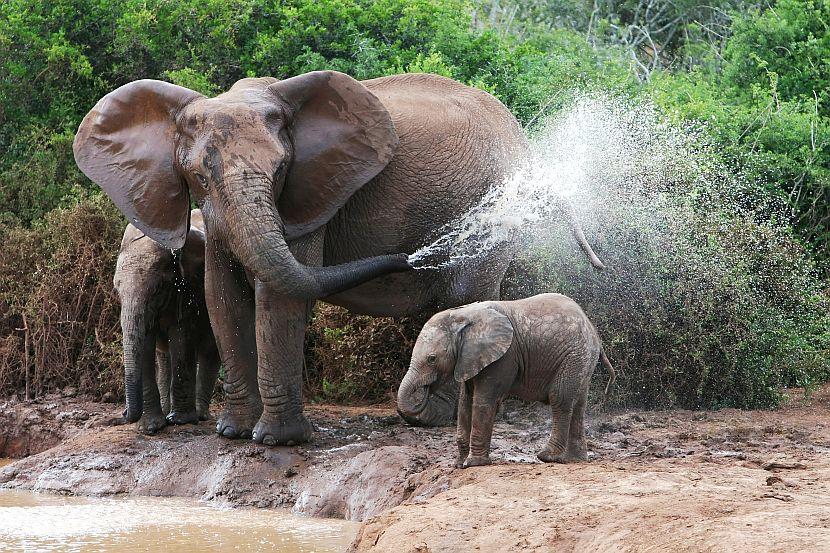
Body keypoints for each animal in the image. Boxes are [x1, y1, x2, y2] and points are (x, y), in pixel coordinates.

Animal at [114, 207, 219, 432]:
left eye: (157, 289)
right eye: (117, 290)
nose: (124, 413)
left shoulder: (189, 288)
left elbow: (181, 336)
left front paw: (180, 421)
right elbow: (145, 344)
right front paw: (151, 428)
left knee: (209, 351)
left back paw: (200, 415)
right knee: (164, 357)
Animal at [400, 292, 616, 468]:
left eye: (432, 359)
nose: (425, 390)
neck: (464, 315)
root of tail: (594, 332)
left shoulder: (503, 357)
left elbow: (483, 402)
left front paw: (474, 464)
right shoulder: (470, 359)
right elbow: (465, 403)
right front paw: (459, 465)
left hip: (574, 356)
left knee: (560, 399)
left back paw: (547, 456)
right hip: (582, 360)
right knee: (578, 404)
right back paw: (574, 459)